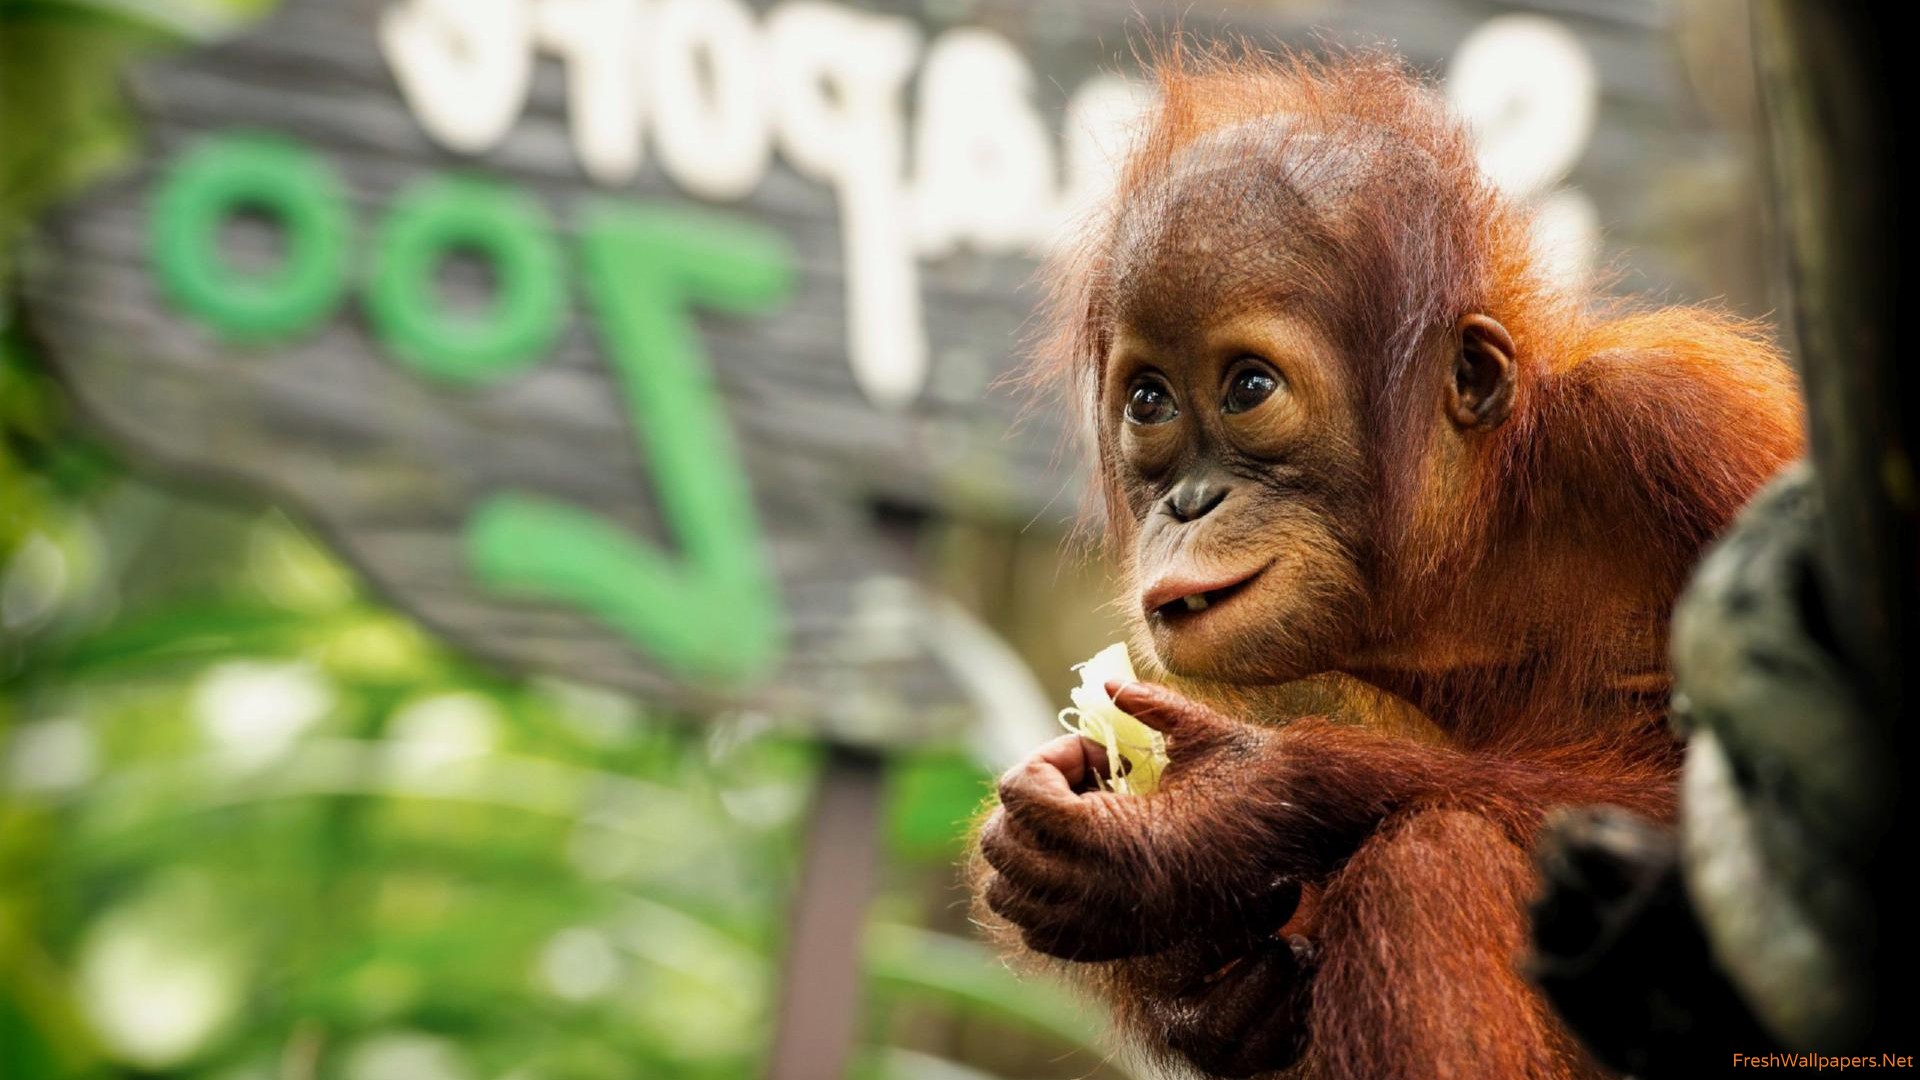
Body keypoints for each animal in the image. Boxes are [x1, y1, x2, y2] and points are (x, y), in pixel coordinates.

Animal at [970, 48, 1804, 1080]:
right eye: (1150, 401)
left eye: (1248, 387)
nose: (1188, 503)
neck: (1476, 542)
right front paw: (1196, 982)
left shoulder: (1690, 427)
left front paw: (1214, 819)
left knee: (1433, 856)